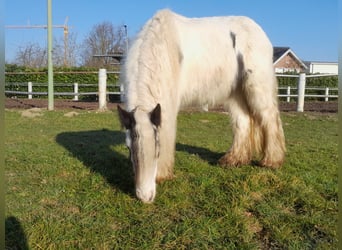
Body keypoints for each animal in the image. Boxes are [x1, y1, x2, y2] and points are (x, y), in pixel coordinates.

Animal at [117, 9, 286, 203]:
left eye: (157, 149)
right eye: (128, 148)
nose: (145, 196)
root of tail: (259, 31)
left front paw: (162, 174)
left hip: (257, 87)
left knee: (270, 119)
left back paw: (272, 161)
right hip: (236, 93)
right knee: (242, 122)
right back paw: (234, 160)